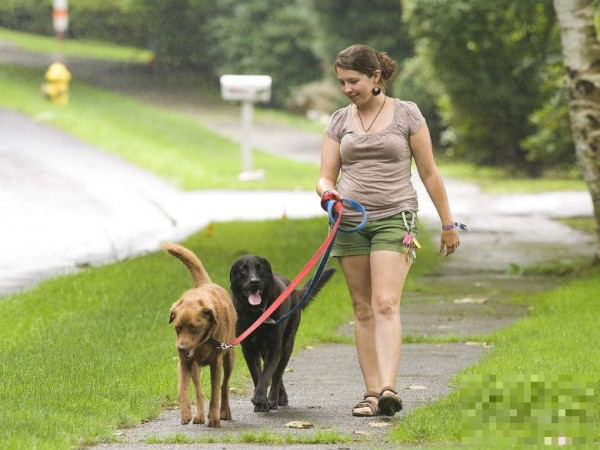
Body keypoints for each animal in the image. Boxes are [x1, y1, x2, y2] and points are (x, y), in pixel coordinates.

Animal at [164, 244, 239, 428]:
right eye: (177, 328)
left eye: (193, 328)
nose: (181, 348)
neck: (204, 342)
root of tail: (207, 284)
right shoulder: (184, 363)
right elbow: (183, 389)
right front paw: (186, 414)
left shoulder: (216, 363)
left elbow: (215, 392)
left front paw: (214, 418)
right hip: (195, 367)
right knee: (199, 390)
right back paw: (199, 415)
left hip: (229, 359)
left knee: (224, 386)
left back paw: (224, 412)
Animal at [230, 255, 336, 414]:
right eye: (243, 269)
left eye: (260, 268)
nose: (254, 281)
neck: (256, 313)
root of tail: (295, 291)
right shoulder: (248, 350)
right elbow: (257, 375)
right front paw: (259, 402)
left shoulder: (274, 348)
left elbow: (267, 375)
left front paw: (261, 399)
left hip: (287, 346)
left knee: (277, 374)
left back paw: (274, 400)